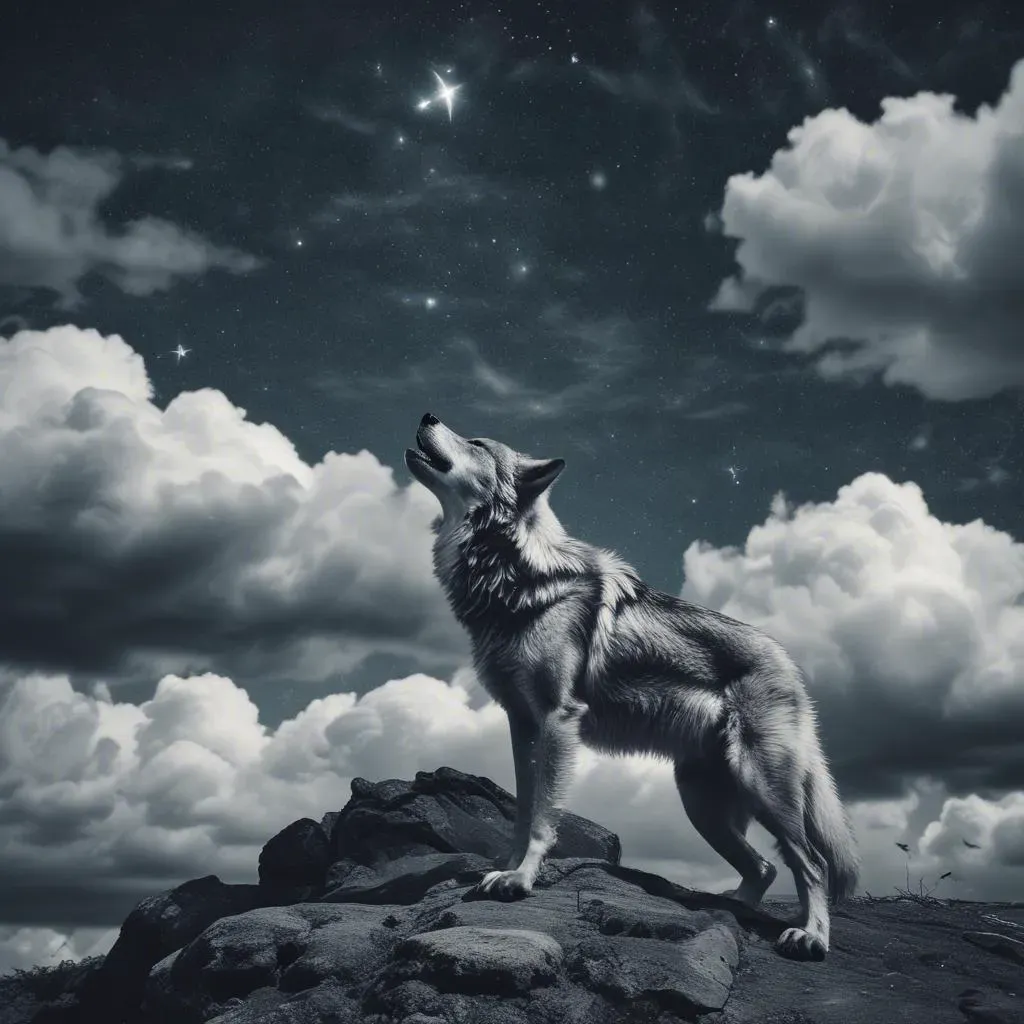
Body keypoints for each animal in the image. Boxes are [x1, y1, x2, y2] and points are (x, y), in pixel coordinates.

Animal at [405, 413, 858, 961]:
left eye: (476, 442)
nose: (427, 415)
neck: (513, 573)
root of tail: (792, 667)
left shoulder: (557, 719)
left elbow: (542, 816)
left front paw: (521, 880)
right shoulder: (521, 723)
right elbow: (522, 810)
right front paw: (506, 870)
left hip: (760, 786)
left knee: (811, 862)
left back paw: (811, 936)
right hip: (701, 806)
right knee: (766, 867)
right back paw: (732, 911)